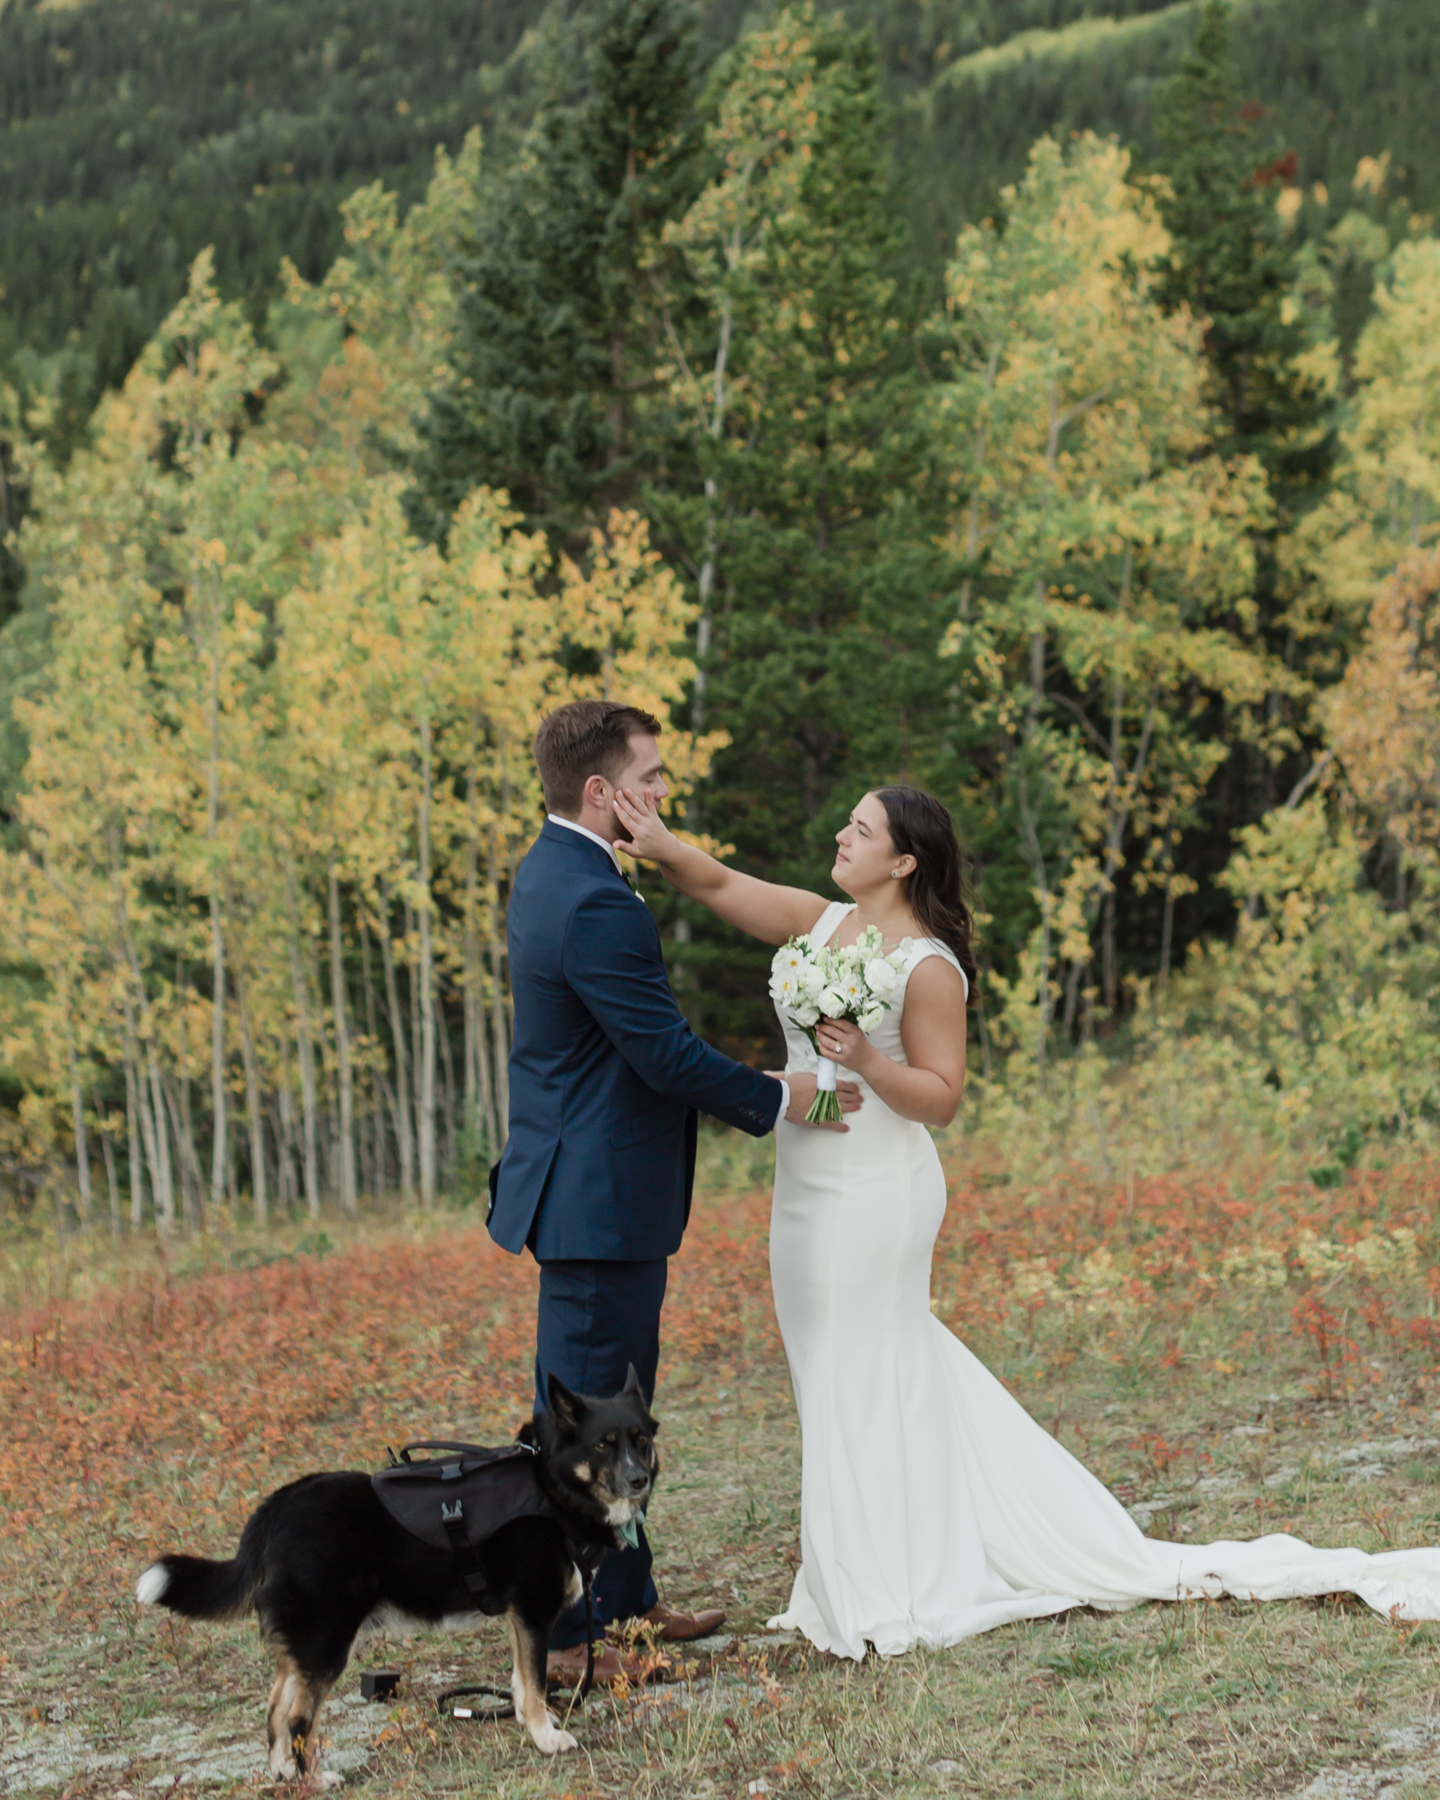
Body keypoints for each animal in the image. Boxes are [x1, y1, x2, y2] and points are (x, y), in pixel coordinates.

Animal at [132, 1368, 662, 1778]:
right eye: (603, 1445)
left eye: (642, 1440)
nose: (639, 1479)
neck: (550, 1485)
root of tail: (277, 1506)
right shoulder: (532, 1611)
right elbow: (533, 1685)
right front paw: (546, 1737)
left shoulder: (519, 1617)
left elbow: (519, 1681)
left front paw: (532, 1727)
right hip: (327, 1641)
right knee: (299, 1718)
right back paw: (313, 1779)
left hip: (306, 1643)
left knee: (276, 1709)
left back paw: (283, 1771)